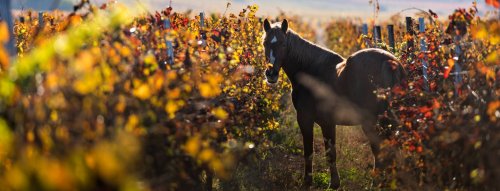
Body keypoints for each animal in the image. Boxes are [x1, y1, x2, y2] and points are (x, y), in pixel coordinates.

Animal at [264, 18, 404, 189]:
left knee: (379, 150)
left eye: (283, 44)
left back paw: (377, 182)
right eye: (265, 43)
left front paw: (314, 182)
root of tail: (389, 62)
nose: (271, 74)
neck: (311, 72)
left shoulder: (309, 120)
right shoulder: (327, 123)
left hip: (371, 122)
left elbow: (314, 152)